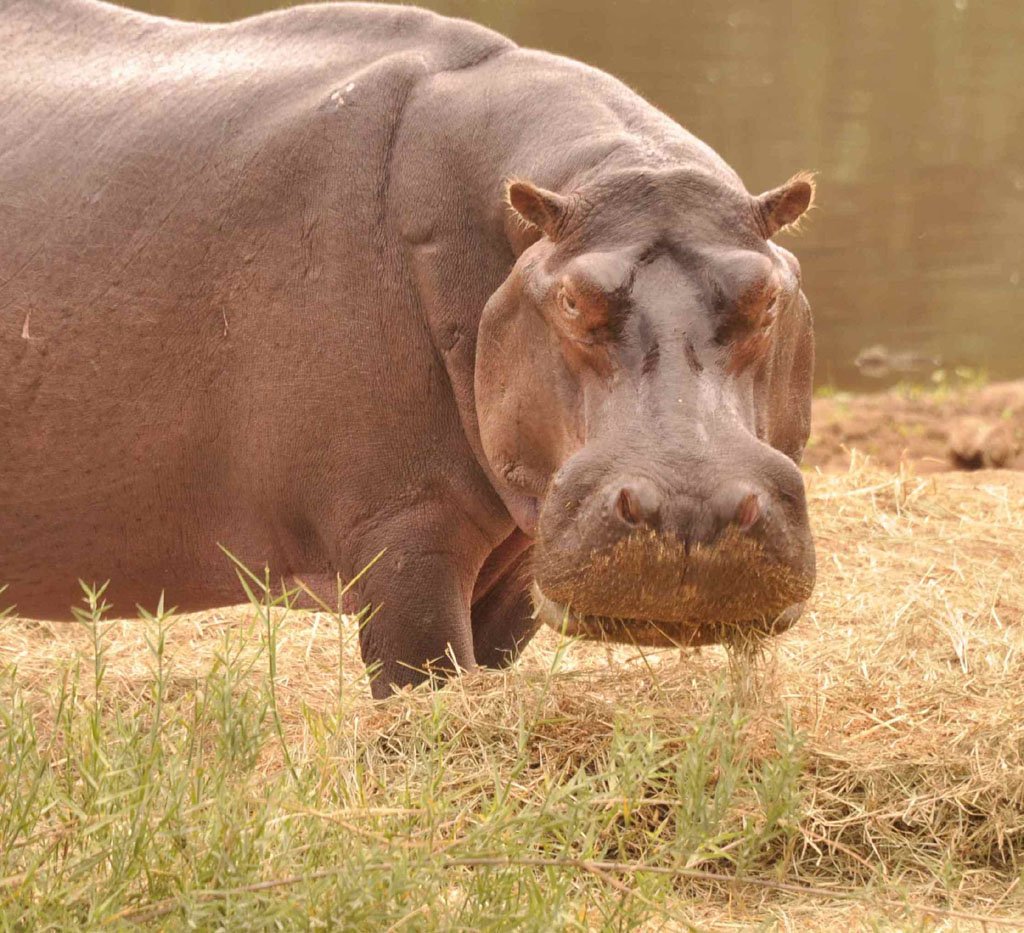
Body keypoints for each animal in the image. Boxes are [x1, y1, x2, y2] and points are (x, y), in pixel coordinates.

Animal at [0, 0, 816, 697]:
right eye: (571, 299)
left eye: (768, 295)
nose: (690, 511)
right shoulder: (403, 534)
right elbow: (421, 681)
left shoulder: (519, 564)